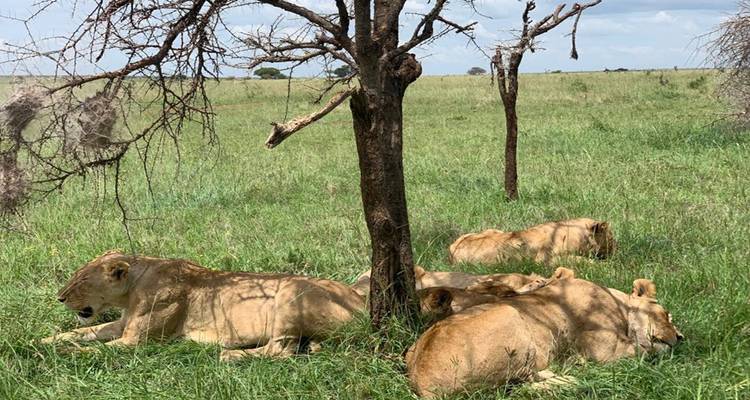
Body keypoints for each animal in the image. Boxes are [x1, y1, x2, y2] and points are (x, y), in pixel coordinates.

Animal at [41, 251, 365, 361]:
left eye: (81, 281)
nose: (59, 298)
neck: (132, 289)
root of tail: (359, 298)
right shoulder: (123, 324)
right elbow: (82, 333)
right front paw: (43, 341)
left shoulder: (136, 341)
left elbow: (92, 348)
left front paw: (58, 353)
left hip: (291, 290)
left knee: (279, 351)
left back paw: (230, 355)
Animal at [405, 277, 682, 398]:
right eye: (666, 314)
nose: (681, 337)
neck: (619, 303)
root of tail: (422, 383)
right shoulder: (606, 350)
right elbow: (647, 351)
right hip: (509, 314)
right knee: (518, 385)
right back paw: (576, 378)